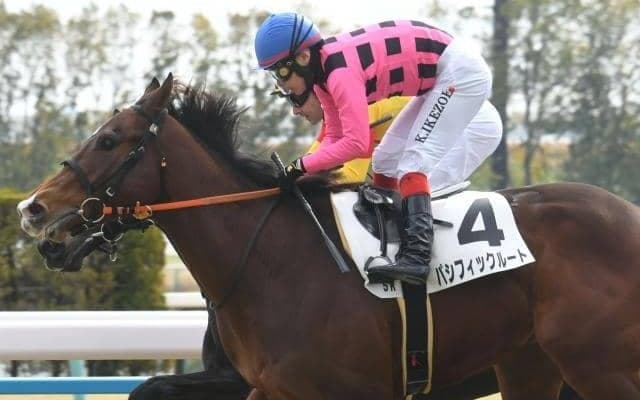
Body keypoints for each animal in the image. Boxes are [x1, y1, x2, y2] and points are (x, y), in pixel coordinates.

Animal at [17, 74, 640, 399]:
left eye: (109, 140)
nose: (32, 210)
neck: (269, 261)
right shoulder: (264, 384)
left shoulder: (327, 389)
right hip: (531, 364)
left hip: (600, 367)